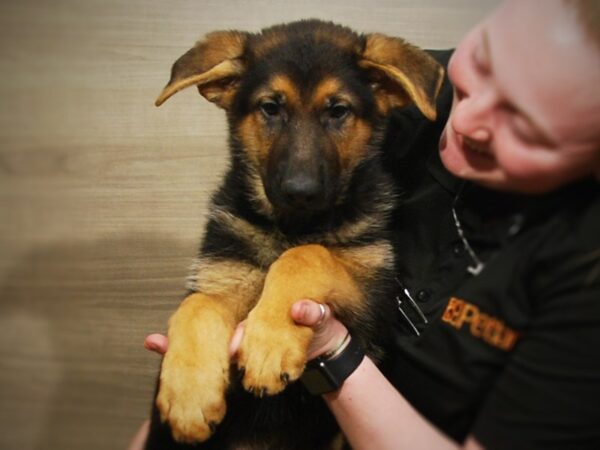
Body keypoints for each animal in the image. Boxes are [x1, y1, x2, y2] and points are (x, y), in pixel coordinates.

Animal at [146, 19, 440, 448]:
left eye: (338, 111)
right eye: (271, 107)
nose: (300, 192)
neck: (294, 227)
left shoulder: (373, 300)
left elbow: (307, 255)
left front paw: (271, 342)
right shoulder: (222, 276)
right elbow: (196, 306)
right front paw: (188, 397)